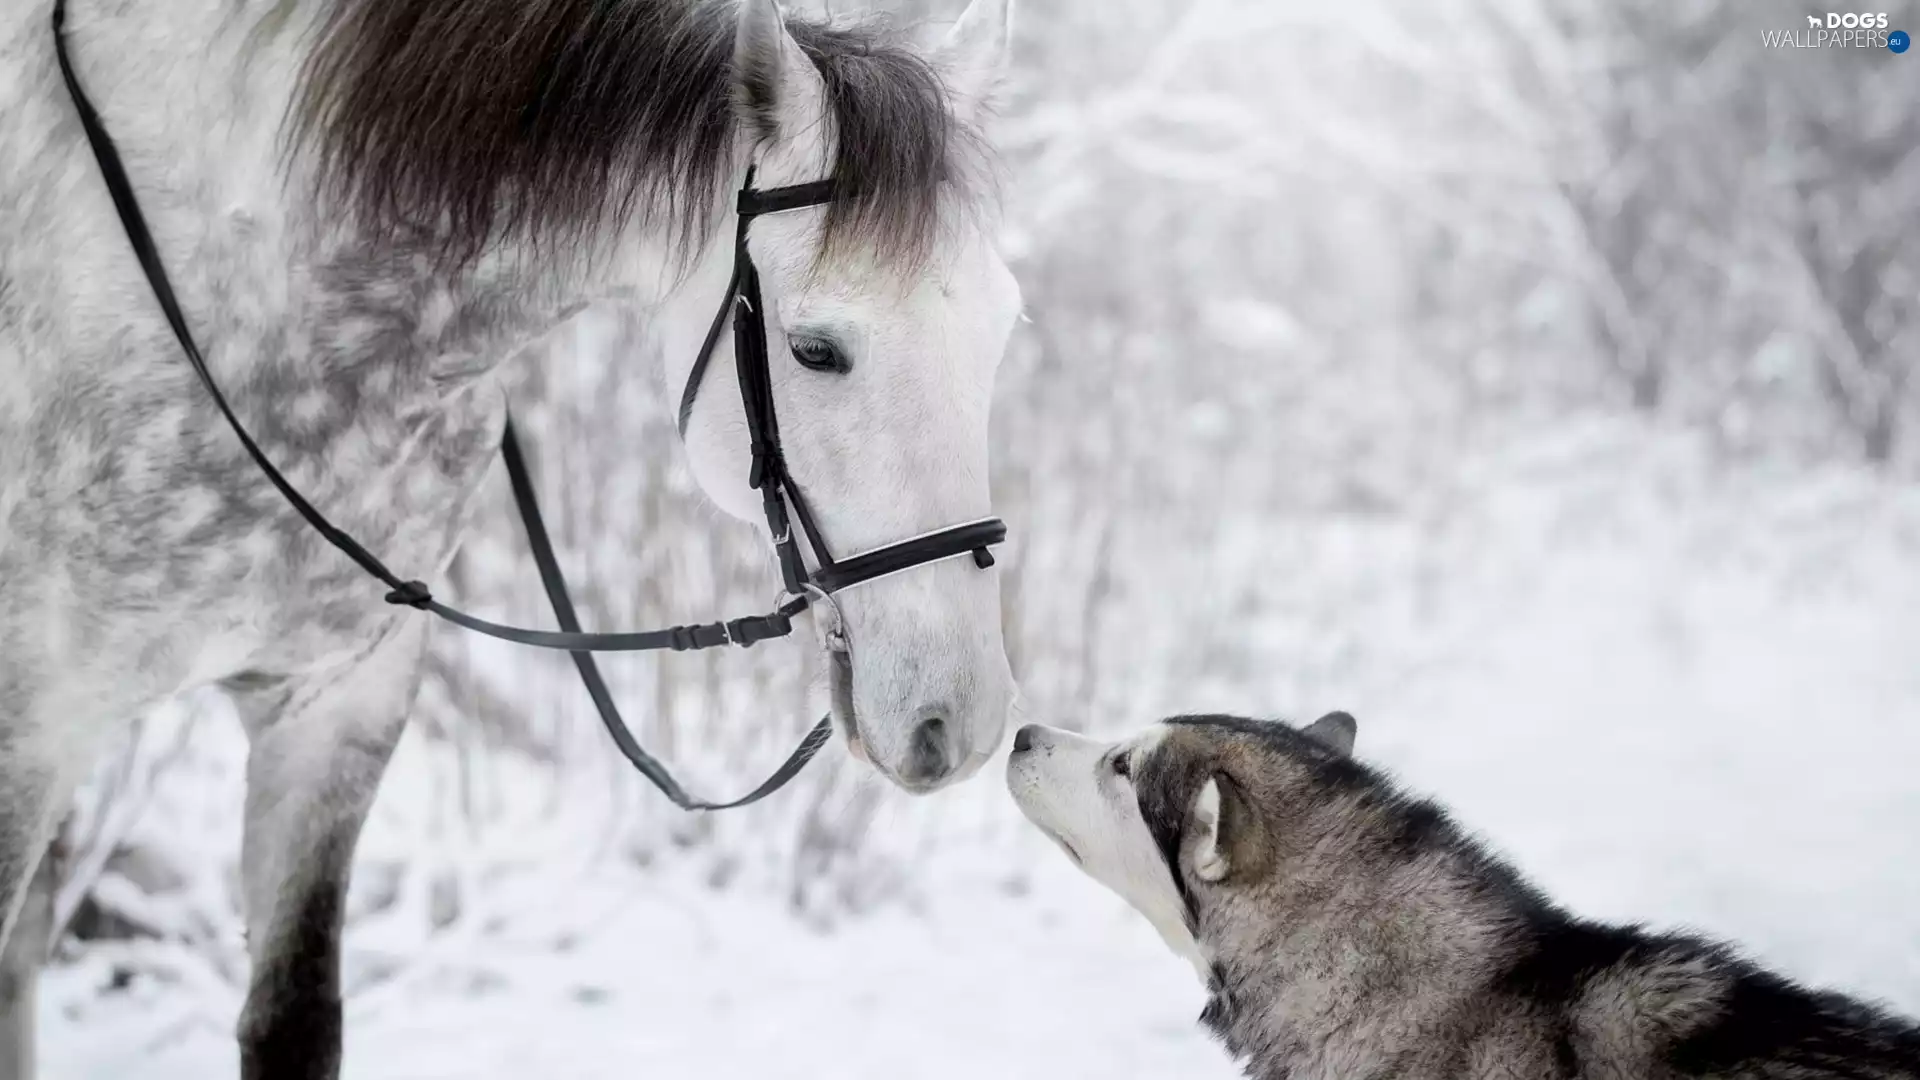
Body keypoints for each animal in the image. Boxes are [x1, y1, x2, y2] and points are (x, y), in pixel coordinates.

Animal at [0, 0, 1019, 1073]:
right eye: (815, 351)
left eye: (1003, 330)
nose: (962, 723)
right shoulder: (32, 729)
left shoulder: (333, 710)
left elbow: (293, 1020)